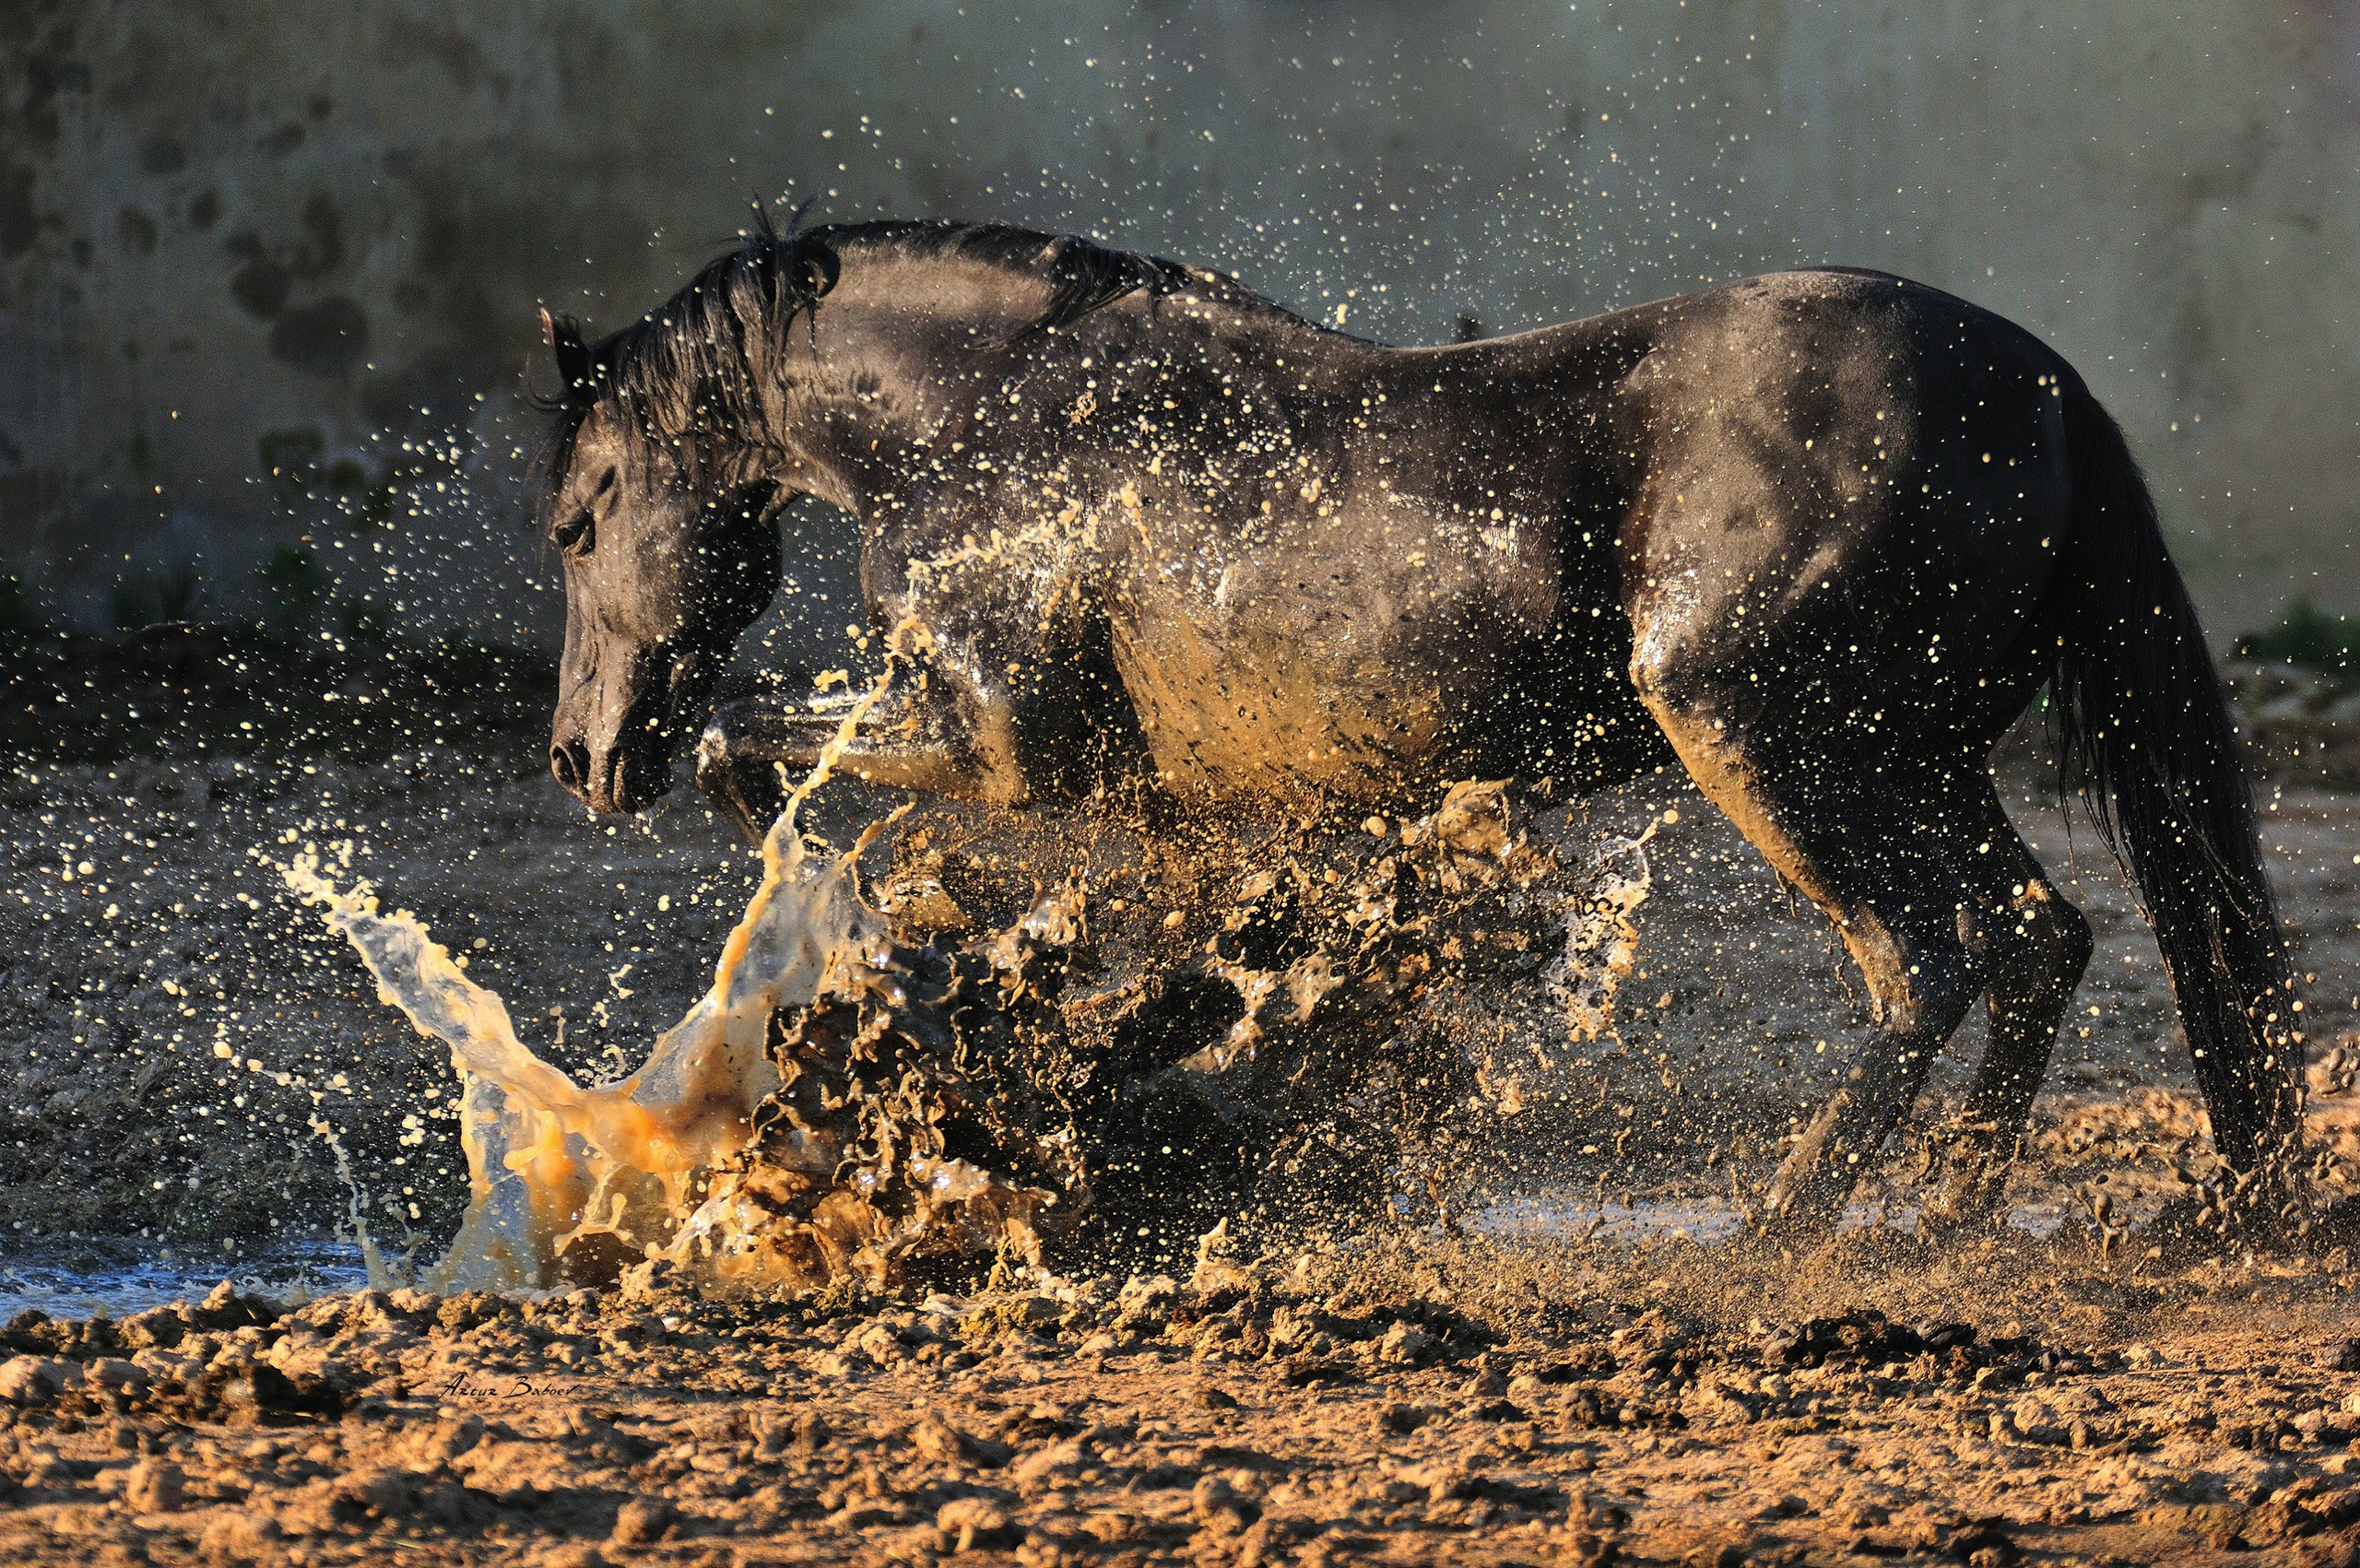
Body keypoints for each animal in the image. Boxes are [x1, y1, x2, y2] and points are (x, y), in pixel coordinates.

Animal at [533, 215, 2304, 1235]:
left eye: (577, 519)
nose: (578, 757)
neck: (1001, 419)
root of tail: (2046, 389)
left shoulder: (1004, 739)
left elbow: (747, 747)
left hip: (1772, 741)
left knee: (1925, 963)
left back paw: (1783, 1233)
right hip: (1914, 759)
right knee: (2038, 940)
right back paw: (1945, 1222)